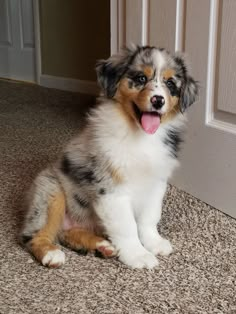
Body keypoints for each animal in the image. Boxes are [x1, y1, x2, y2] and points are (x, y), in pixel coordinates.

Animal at [20, 45, 198, 268]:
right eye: (141, 78)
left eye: (170, 83)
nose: (158, 100)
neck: (140, 136)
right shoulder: (111, 188)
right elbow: (127, 226)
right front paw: (138, 255)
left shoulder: (156, 182)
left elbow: (149, 217)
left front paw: (154, 243)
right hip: (50, 192)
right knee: (31, 236)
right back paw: (51, 253)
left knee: (69, 233)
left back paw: (103, 246)